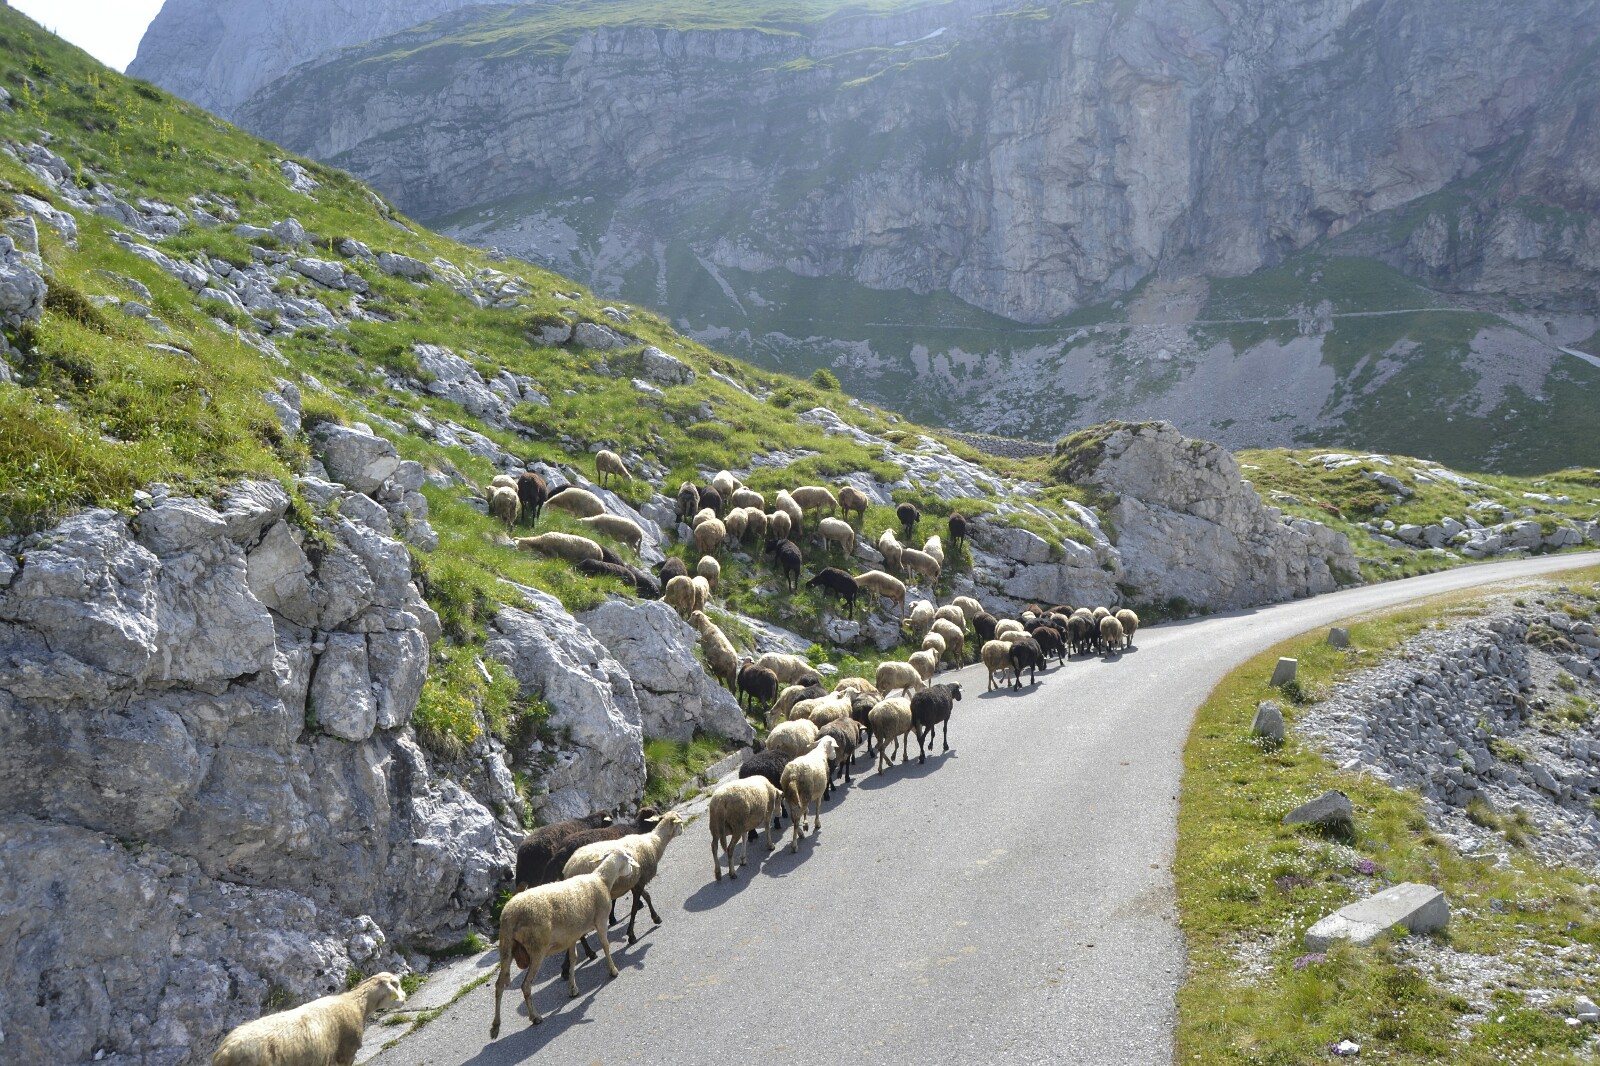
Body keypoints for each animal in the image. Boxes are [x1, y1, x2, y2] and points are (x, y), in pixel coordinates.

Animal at [490, 850, 636, 1037]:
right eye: (628, 860)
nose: (632, 871)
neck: (601, 879)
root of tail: (509, 917)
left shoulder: (571, 936)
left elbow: (573, 958)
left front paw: (572, 988)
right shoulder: (601, 921)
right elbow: (605, 945)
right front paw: (613, 970)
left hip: (506, 946)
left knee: (499, 985)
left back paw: (495, 1027)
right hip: (536, 949)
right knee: (526, 986)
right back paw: (535, 1017)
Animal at [564, 811, 686, 946]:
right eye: (680, 821)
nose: (683, 829)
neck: (654, 842)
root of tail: (568, 868)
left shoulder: (636, 880)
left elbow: (647, 897)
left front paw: (656, 918)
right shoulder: (640, 881)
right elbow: (634, 909)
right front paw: (631, 936)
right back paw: (589, 951)